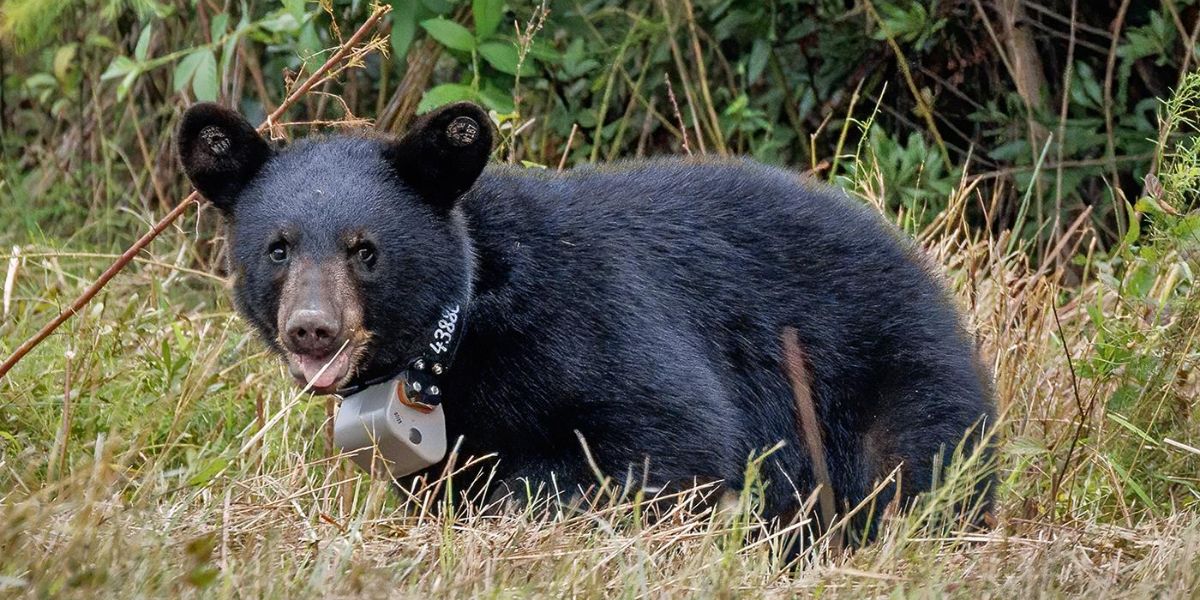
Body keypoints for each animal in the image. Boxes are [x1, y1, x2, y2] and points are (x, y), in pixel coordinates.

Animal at [177, 100, 994, 542]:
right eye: (278, 248)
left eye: (365, 251)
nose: (312, 329)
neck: (465, 330)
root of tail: (928, 276)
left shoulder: (589, 320)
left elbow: (677, 433)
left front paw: (524, 503)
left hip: (890, 371)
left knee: (918, 464)